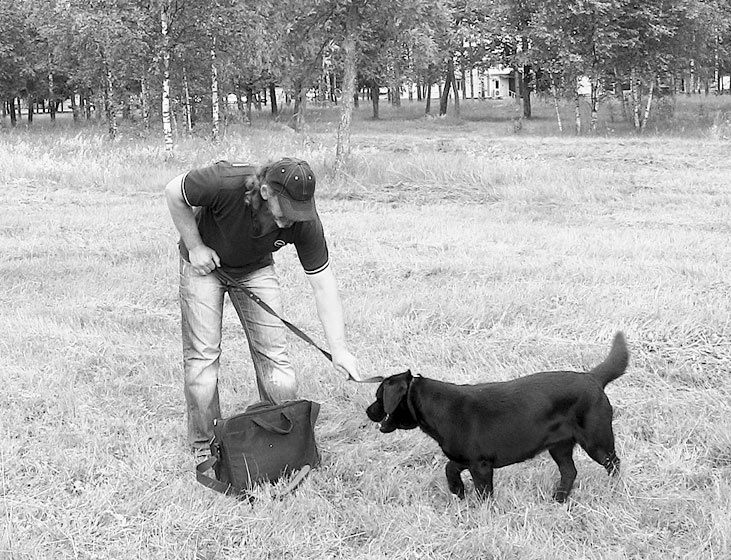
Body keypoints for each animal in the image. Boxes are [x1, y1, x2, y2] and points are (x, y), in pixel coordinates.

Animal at [366, 332, 628, 504]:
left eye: (379, 397)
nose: (368, 411)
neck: (439, 408)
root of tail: (593, 378)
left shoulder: (481, 465)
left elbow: (483, 494)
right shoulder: (467, 457)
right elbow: (450, 468)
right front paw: (458, 490)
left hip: (597, 441)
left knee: (614, 464)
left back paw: (614, 490)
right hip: (560, 445)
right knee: (569, 471)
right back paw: (559, 499)